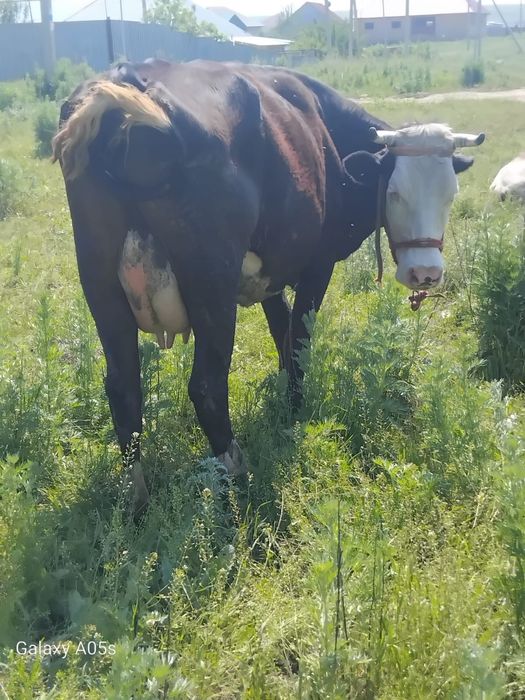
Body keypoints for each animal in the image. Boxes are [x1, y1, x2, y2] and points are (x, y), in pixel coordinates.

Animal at [52, 59, 484, 509]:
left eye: (451, 194)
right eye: (395, 193)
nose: (425, 273)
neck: (328, 137)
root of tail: (130, 79)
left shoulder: (270, 278)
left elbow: (281, 332)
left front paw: (282, 393)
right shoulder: (317, 267)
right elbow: (299, 341)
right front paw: (295, 408)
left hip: (101, 287)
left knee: (123, 387)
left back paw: (136, 499)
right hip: (212, 288)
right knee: (206, 387)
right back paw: (236, 473)